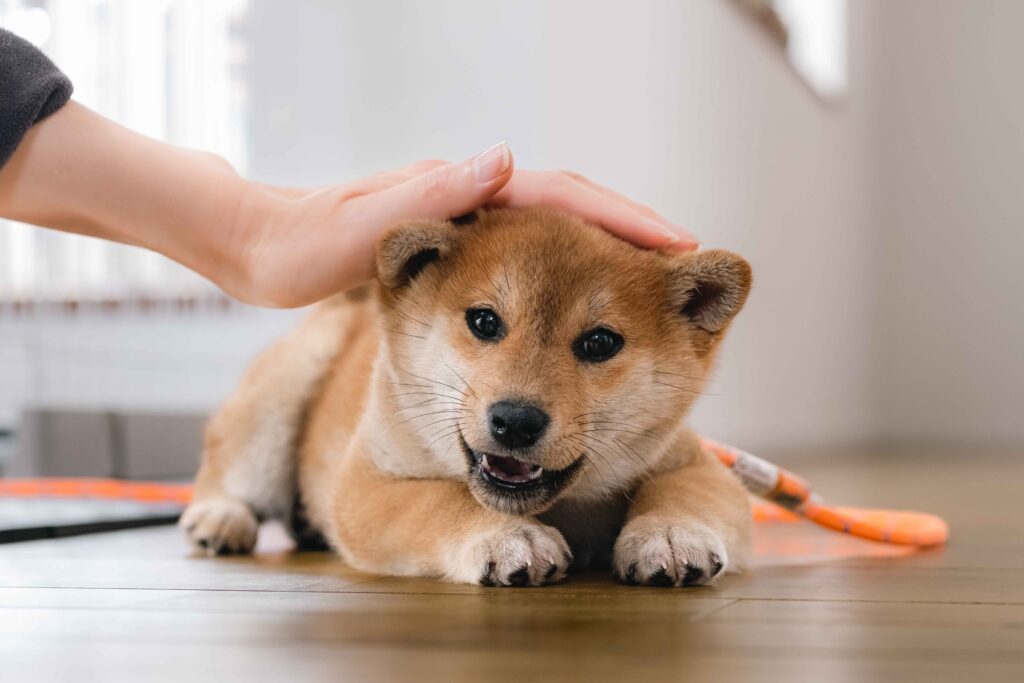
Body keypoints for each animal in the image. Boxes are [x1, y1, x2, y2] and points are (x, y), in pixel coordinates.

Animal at [180, 208, 753, 589]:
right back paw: (219, 518)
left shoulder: (694, 460)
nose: (516, 421)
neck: (565, 507)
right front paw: (507, 536)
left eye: (599, 343)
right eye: (483, 321)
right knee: (227, 471)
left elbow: (685, 490)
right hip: (282, 391)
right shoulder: (368, 484)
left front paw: (672, 533)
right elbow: (441, 500)